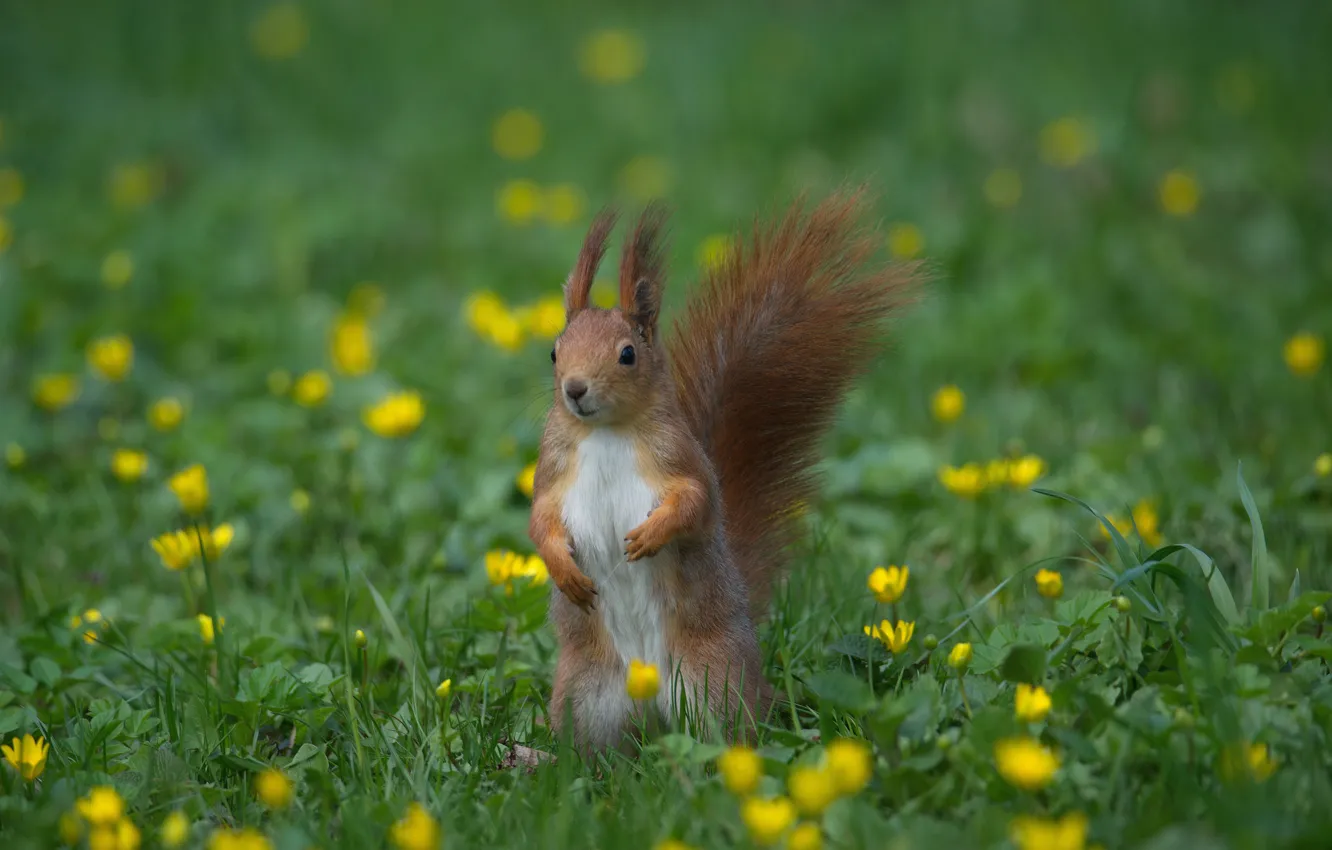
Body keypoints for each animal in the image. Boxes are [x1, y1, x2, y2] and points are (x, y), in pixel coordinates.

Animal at [524, 189, 921, 756]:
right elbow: (540, 522)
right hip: (588, 695)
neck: (604, 433)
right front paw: (564, 570)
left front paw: (650, 536)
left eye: (628, 354)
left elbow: (697, 503)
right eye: (554, 352)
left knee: (729, 733)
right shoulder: (553, 472)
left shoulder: (681, 460)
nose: (574, 390)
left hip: (713, 682)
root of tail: (650, 700)